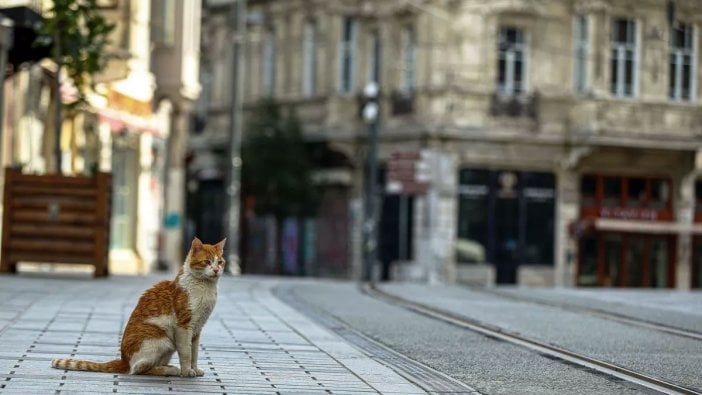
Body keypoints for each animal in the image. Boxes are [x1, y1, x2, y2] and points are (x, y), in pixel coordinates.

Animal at [51, 238, 226, 378]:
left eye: (220, 262)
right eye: (207, 262)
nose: (216, 270)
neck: (206, 289)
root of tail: (123, 360)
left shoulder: (197, 329)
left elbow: (194, 353)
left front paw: (194, 369)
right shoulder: (184, 327)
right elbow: (186, 353)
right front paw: (187, 371)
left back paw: (167, 367)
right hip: (163, 341)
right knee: (138, 369)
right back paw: (170, 370)